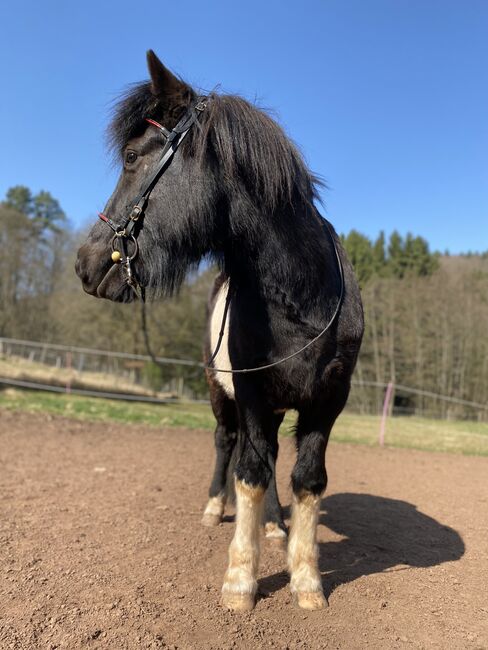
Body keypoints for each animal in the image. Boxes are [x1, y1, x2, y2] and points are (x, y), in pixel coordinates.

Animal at [76, 49, 362, 608]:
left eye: (131, 157)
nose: (86, 262)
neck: (299, 300)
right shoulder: (249, 392)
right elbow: (248, 472)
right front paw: (240, 579)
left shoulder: (328, 400)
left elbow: (307, 479)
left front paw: (306, 579)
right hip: (219, 390)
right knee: (228, 444)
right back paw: (215, 509)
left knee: (270, 457)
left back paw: (274, 526)